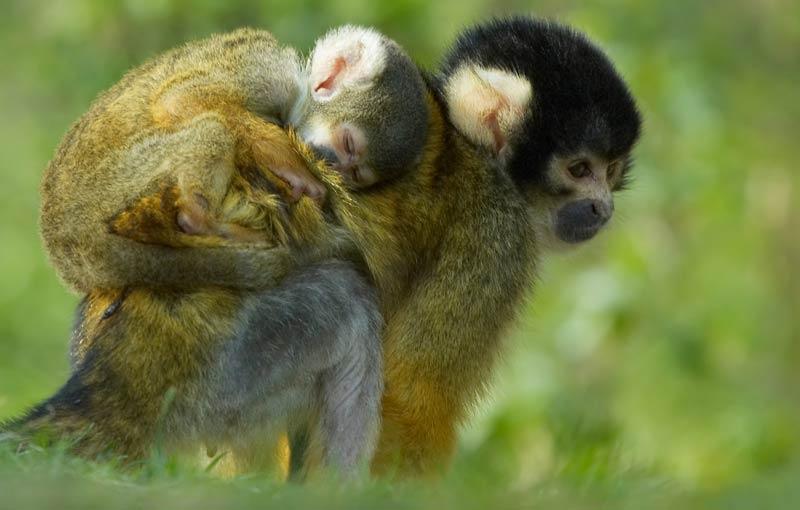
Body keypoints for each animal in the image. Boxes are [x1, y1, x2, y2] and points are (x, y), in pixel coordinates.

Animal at [40, 25, 428, 292]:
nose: (334, 167)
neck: (298, 89)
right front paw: (287, 159)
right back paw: (200, 219)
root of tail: (64, 242)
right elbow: (176, 102)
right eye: (347, 144)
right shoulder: (269, 72)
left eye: (355, 172)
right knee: (213, 126)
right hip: (115, 181)